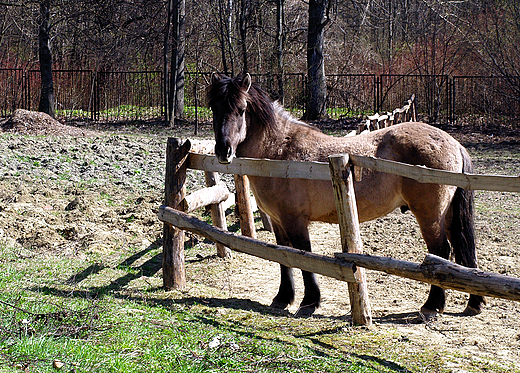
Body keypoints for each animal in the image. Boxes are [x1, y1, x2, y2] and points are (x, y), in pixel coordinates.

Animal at [206, 72, 484, 316]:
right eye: (214, 108)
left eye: (241, 109)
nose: (223, 151)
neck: (280, 153)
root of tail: (454, 143)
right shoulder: (278, 221)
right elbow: (284, 256)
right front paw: (283, 298)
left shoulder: (295, 221)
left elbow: (304, 256)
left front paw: (309, 302)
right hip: (447, 215)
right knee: (462, 251)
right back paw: (473, 303)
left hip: (430, 215)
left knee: (441, 251)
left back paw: (432, 306)